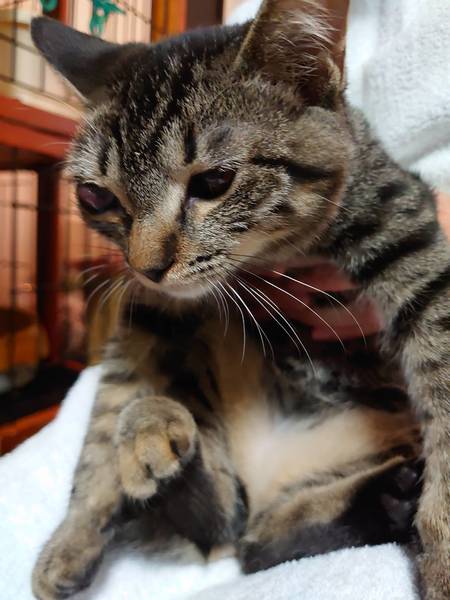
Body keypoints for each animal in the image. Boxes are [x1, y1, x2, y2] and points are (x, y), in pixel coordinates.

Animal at [31, 2, 449, 599]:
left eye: (214, 183)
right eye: (95, 197)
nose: (146, 266)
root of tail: (270, 464)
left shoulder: (409, 234)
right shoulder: (151, 310)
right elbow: (108, 408)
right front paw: (75, 533)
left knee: (255, 537)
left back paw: (393, 495)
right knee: (236, 526)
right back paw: (158, 436)